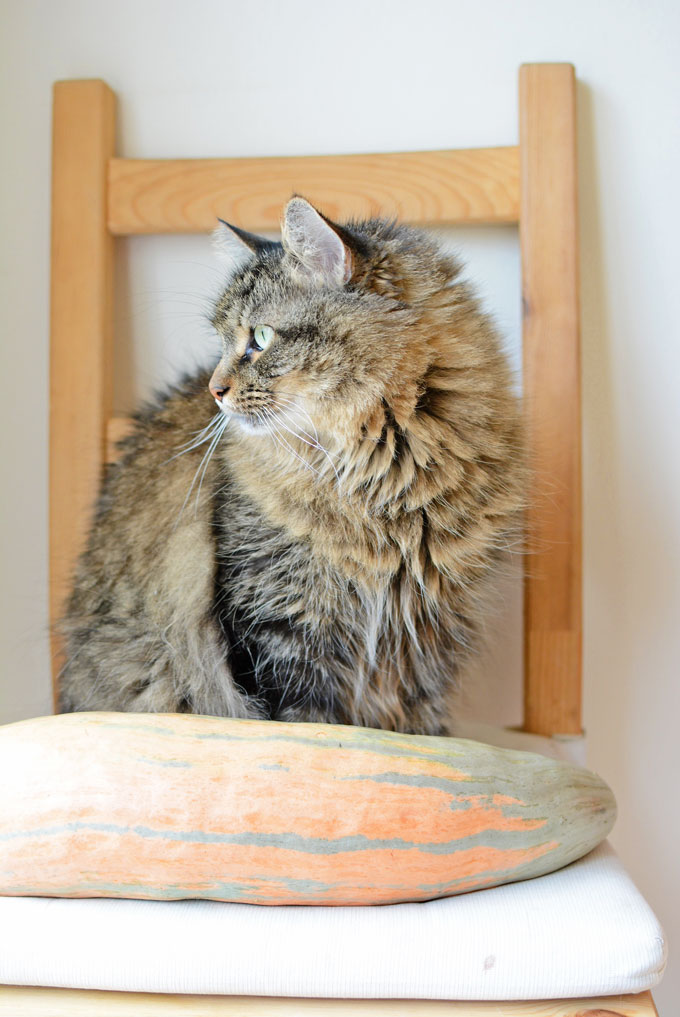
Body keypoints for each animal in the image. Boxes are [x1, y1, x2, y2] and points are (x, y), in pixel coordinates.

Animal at [59, 194, 524, 736]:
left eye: (260, 337)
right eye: (222, 342)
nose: (214, 391)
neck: (383, 477)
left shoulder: (426, 637)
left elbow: (418, 726)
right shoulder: (279, 626)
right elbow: (310, 723)